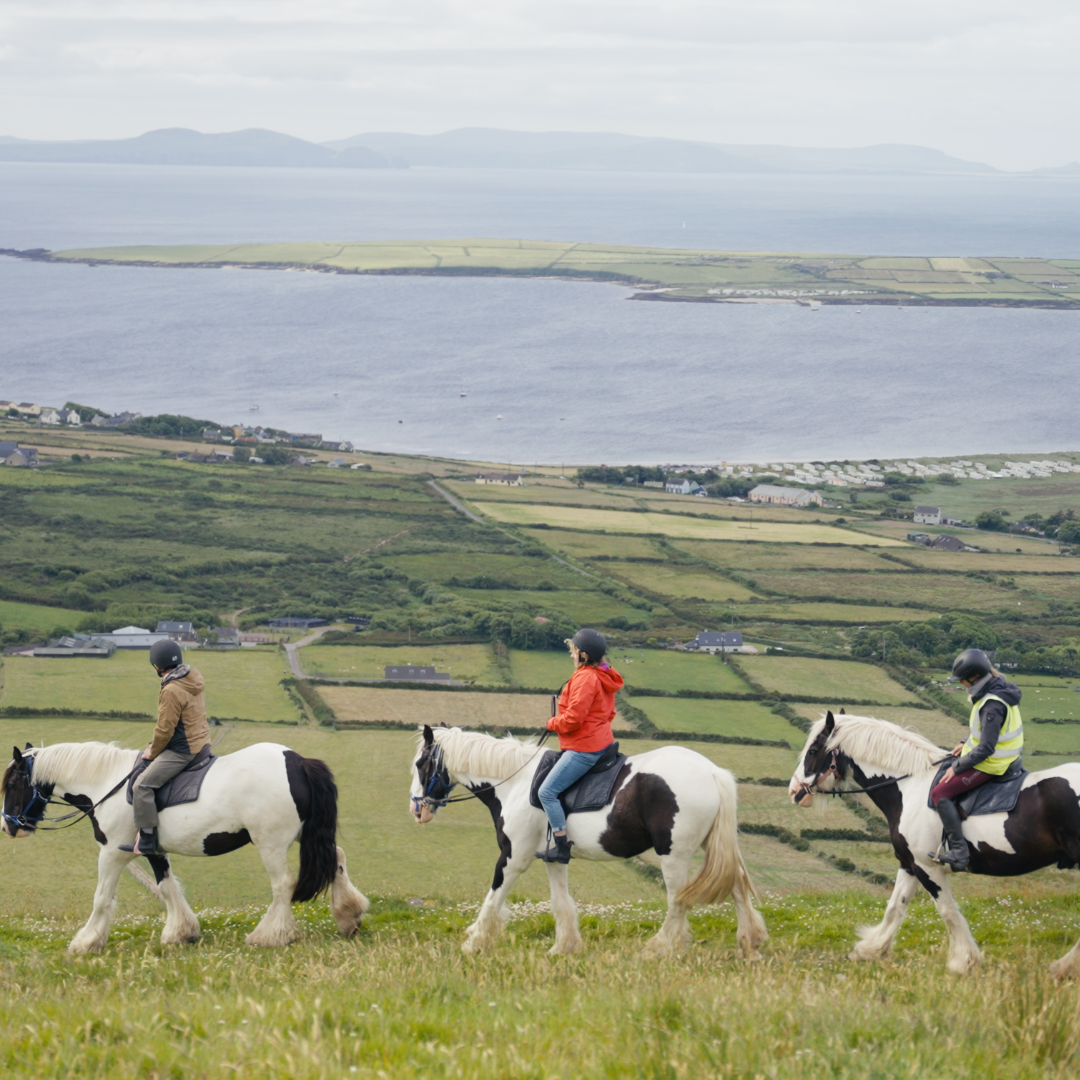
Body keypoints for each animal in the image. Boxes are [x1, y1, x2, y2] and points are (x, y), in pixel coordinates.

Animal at [2, 743, 369, 954]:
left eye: (13, 783)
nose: (8, 826)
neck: (105, 784)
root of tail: (298, 761)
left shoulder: (113, 853)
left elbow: (102, 898)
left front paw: (86, 942)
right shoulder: (152, 849)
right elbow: (167, 888)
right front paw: (182, 932)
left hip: (271, 842)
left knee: (283, 885)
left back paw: (269, 935)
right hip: (306, 833)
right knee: (336, 858)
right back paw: (348, 916)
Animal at [406, 721, 768, 959]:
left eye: (421, 763)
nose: (416, 810)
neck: (516, 782)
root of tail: (712, 772)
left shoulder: (513, 857)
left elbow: (493, 899)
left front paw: (474, 943)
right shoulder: (552, 857)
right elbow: (560, 902)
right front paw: (564, 947)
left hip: (673, 854)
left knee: (678, 900)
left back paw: (658, 948)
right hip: (712, 845)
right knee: (737, 887)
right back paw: (749, 944)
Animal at [790, 712, 1080, 976]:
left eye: (813, 750)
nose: (794, 791)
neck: (910, 787)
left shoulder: (927, 867)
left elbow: (947, 910)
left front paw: (964, 961)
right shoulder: (909, 864)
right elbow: (895, 907)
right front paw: (869, 950)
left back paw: (1063, 967)